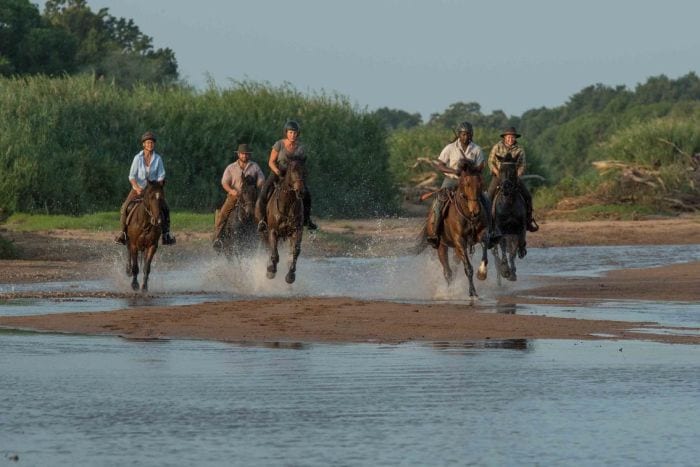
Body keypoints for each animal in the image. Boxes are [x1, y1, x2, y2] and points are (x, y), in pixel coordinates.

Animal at [490, 154, 528, 284]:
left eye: (513, 171)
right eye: (501, 170)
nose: (506, 188)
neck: (509, 204)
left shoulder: (518, 230)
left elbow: (513, 251)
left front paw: (512, 273)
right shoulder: (500, 229)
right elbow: (503, 247)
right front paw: (505, 270)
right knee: (496, 252)